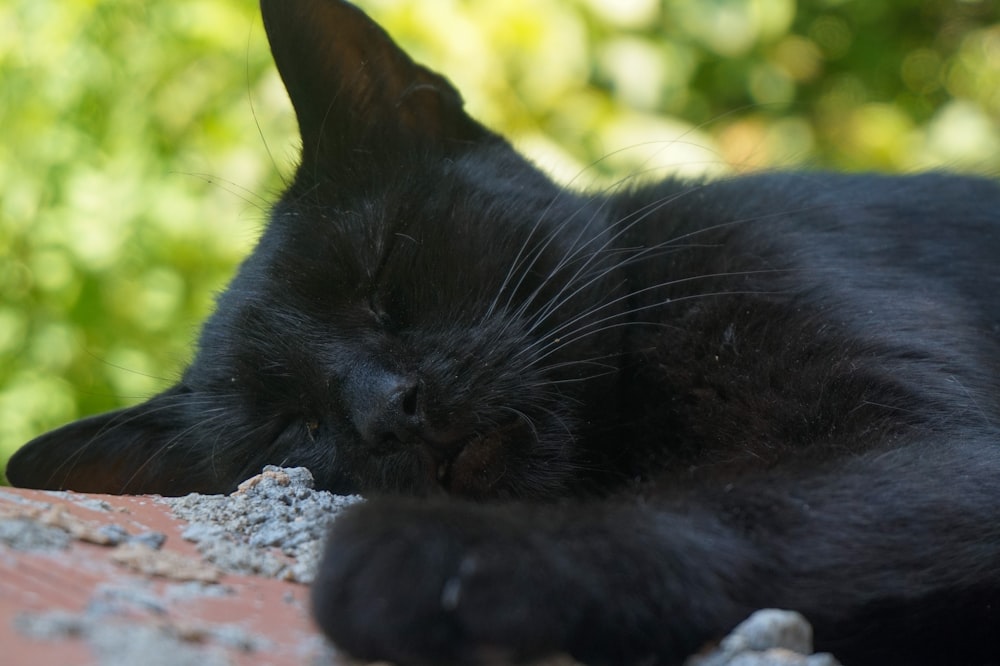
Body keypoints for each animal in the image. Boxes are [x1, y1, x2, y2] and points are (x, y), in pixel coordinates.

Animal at [5, 1, 1000, 664]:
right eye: (295, 427)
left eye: (381, 280)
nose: (392, 410)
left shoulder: (938, 444)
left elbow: (731, 503)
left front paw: (436, 559)